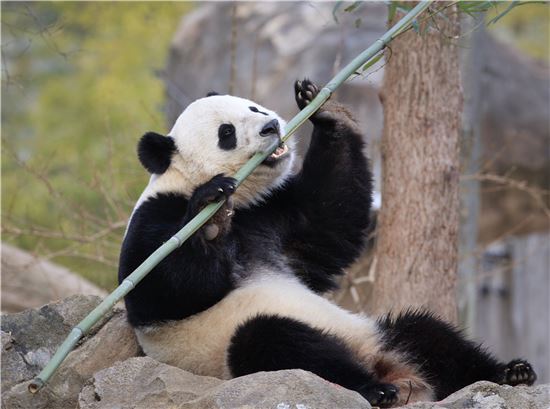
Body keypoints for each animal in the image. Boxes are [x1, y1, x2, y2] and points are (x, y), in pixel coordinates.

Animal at [118, 78, 536, 406]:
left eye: (252, 106)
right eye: (226, 133)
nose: (271, 126)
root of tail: (395, 372)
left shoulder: (271, 217)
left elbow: (330, 219)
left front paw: (325, 108)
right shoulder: (154, 218)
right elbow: (163, 288)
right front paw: (211, 220)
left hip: (376, 335)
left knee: (426, 333)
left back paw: (508, 373)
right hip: (231, 355)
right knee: (275, 340)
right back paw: (373, 389)